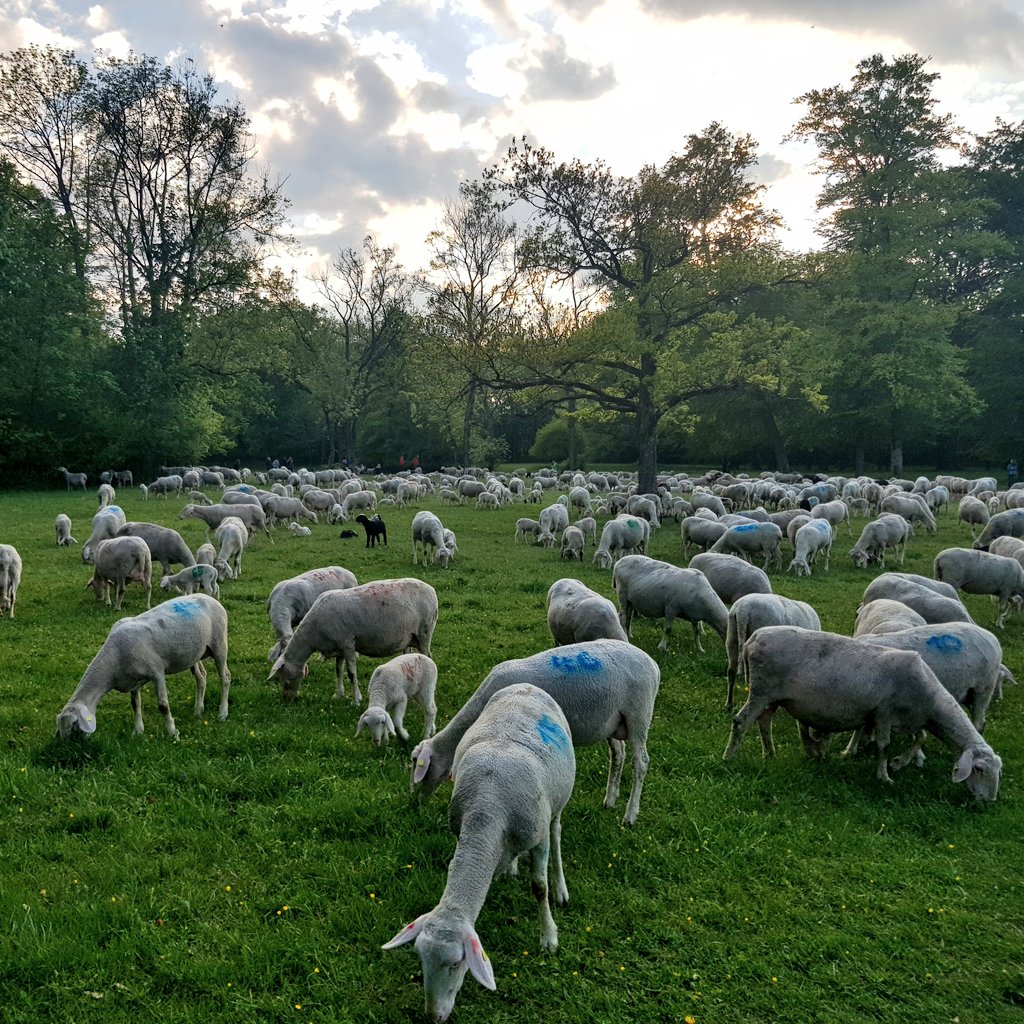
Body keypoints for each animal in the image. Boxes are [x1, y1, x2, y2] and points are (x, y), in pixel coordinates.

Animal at [56, 594, 232, 739]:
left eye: (74, 726)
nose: (70, 751)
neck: (113, 662)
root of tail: (211, 598)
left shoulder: (157, 672)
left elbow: (163, 705)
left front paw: (173, 733)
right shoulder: (133, 679)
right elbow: (135, 704)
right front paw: (138, 731)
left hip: (219, 645)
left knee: (225, 677)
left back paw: (222, 713)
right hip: (194, 654)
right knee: (201, 677)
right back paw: (198, 710)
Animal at [268, 578, 438, 703]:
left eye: (287, 678)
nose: (287, 698)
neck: (313, 634)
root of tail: (431, 589)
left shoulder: (348, 644)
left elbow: (351, 673)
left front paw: (356, 700)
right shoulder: (338, 647)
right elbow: (338, 670)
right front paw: (338, 694)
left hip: (425, 632)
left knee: (428, 657)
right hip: (409, 637)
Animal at [385, 684, 576, 1022]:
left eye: (456, 963)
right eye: (420, 957)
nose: (434, 1016)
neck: (488, 808)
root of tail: (526, 686)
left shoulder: (537, 836)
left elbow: (538, 887)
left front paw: (549, 937)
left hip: (556, 804)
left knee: (557, 832)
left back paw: (560, 888)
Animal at [409, 638, 659, 827]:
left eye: (420, 766)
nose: (416, 803)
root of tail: (653, 665)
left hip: (639, 715)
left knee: (641, 762)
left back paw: (630, 816)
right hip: (613, 721)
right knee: (618, 754)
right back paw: (610, 800)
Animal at [723, 626, 1002, 800]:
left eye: (998, 772)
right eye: (979, 769)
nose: (988, 801)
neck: (929, 696)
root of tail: (753, 638)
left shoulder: (909, 719)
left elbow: (919, 738)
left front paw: (900, 763)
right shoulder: (884, 713)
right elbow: (883, 745)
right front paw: (885, 776)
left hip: (772, 697)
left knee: (764, 721)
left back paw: (769, 754)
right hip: (762, 689)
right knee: (741, 722)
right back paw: (729, 757)